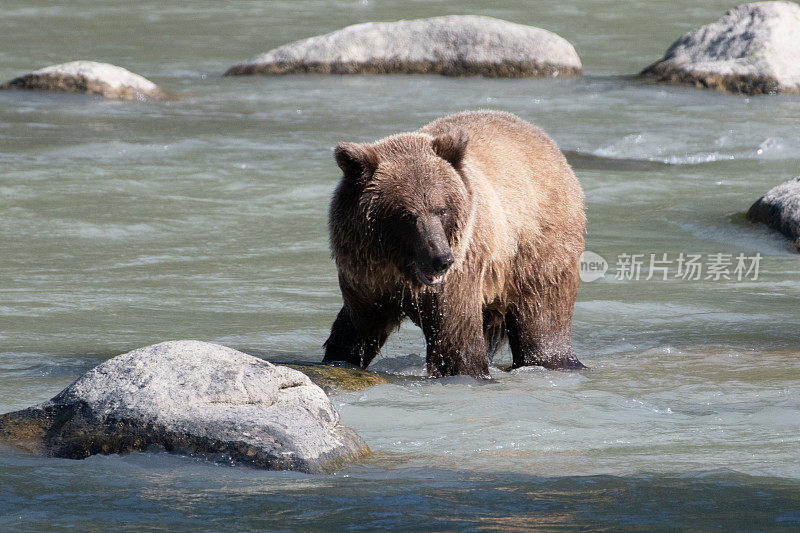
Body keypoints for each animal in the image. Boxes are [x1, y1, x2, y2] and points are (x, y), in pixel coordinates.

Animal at [322, 108, 584, 376]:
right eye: (406, 214)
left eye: (442, 209)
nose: (441, 259)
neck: (401, 270)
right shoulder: (367, 279)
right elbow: (355, 330)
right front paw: (339, 357)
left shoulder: (458, 276)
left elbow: (457, 336)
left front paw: (467, 369)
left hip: (537, 249)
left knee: (542, 320)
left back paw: (556, 359)